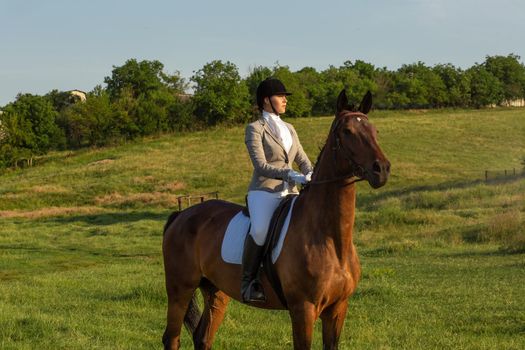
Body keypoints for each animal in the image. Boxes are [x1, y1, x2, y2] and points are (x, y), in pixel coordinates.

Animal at [163, 90, 388, 350]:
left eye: (375, 131)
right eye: (348, 132)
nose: (382, 169)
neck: (330, 238)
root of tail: (182, 215)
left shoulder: (337, 308)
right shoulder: (303, 309)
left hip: (216, 291)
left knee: (203, 337)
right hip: (180, 289)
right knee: (171, 338)